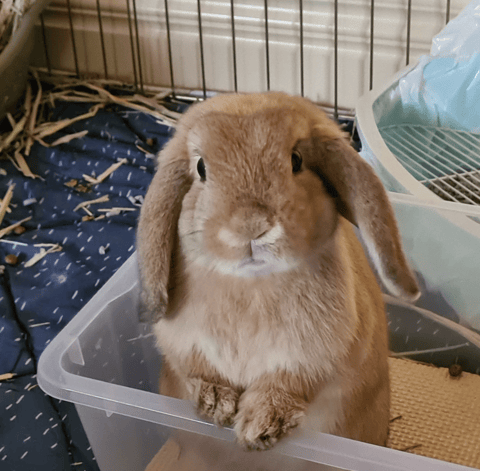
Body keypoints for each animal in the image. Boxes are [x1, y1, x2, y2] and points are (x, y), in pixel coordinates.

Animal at [136, 91, 420, 450]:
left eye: (296, 160)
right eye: (201, 168)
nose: (252, 227)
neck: (251, 283)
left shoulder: (313, 358)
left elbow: (287, 385)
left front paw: (259, 426)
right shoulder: (184, 346)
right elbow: (199, 371)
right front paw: (216, 404)